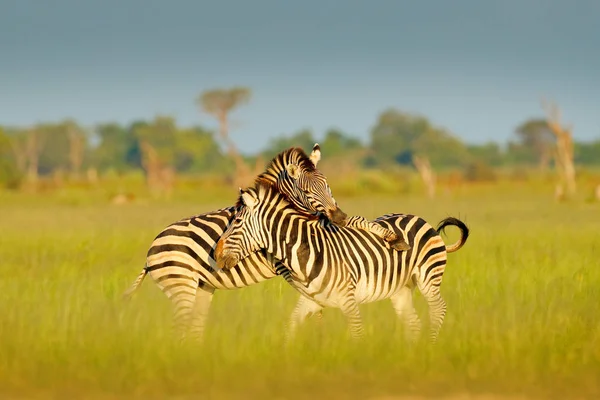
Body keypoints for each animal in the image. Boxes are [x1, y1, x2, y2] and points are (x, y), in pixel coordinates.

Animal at [124, 145, 410, 340]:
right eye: (307, 191)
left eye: (327, 185)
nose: (337, 215)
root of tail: (151, 250)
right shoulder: (288, 251)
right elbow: (355, 222)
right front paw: (393, 237)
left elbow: (356, 222)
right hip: (180, 284)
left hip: (201, 287)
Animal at [213, 180, 472, 342]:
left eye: (236, 222)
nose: (216, 255)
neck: (307, 254)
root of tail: (419, 218)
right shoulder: (311, 301)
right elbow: (291, 328)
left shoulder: (348, 299)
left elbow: (357, 333)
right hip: (400, 289)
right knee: (413, 322)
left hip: (429, 277)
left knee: (438, 309)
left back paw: (430, 346)